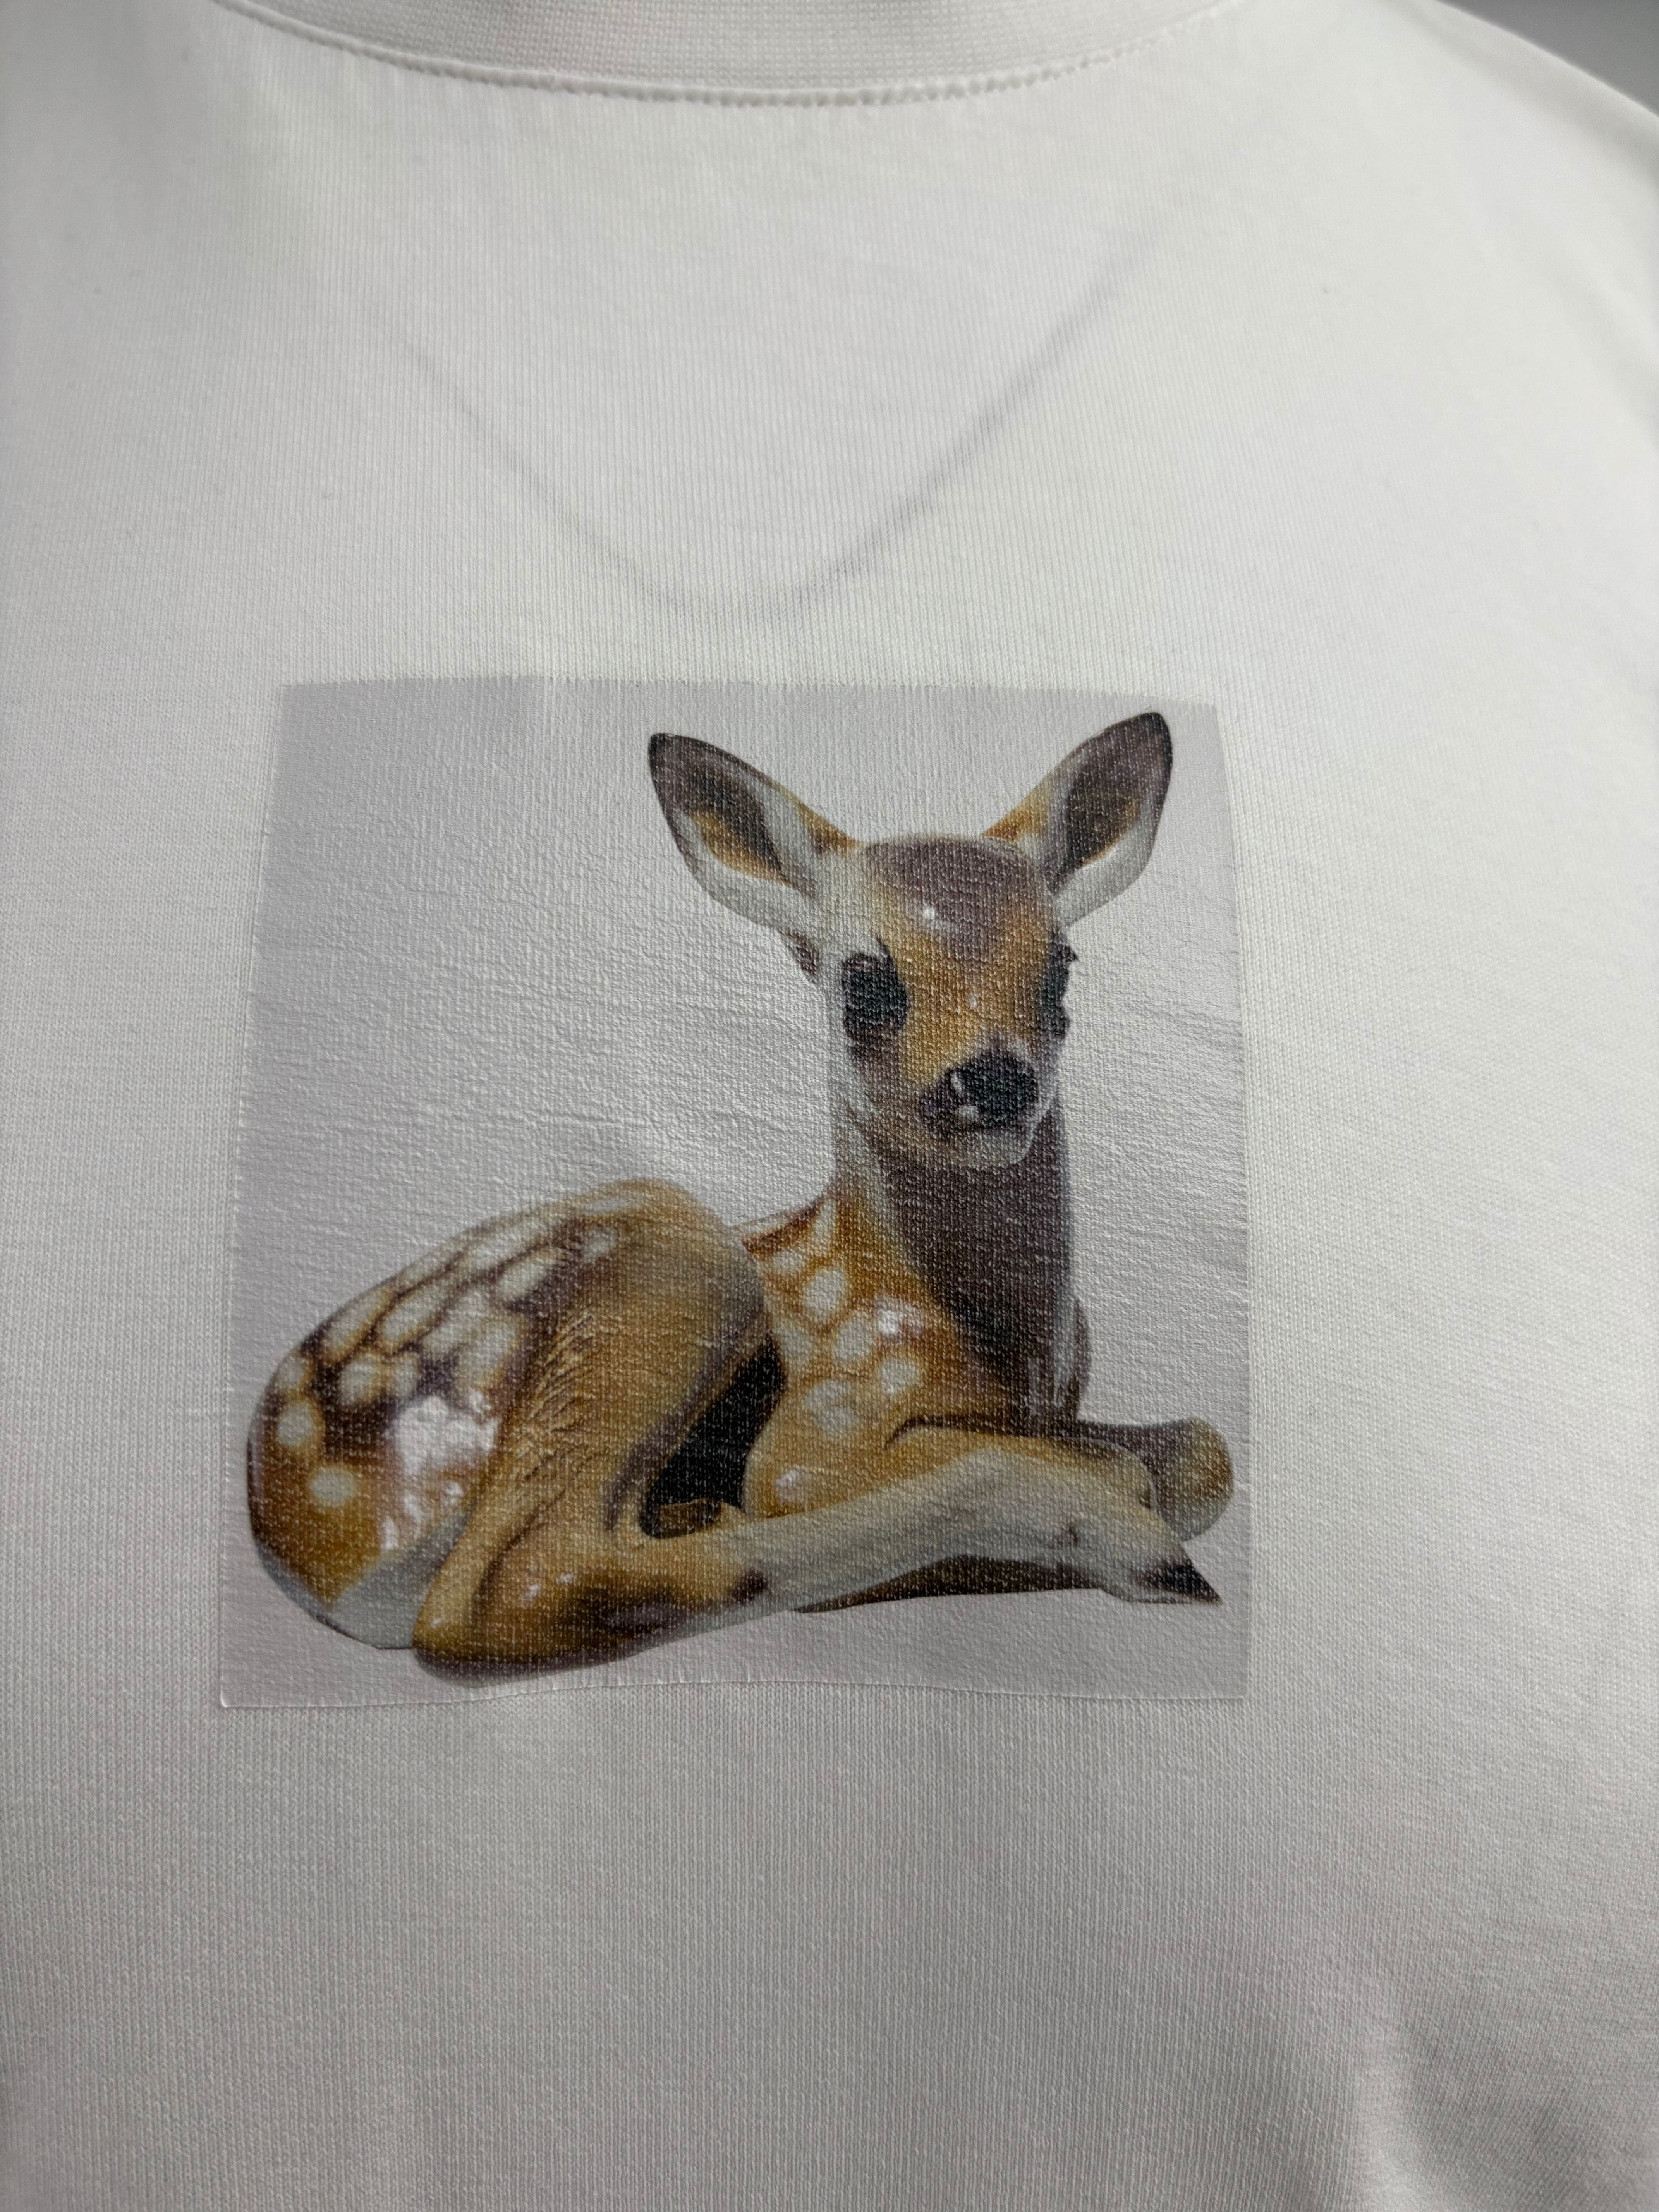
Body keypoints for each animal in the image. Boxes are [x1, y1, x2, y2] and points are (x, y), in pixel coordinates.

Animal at [247, 715, 1233, 1670]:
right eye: (865, 979)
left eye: (1062, 965)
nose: (993, 1079)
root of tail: (287, 1539)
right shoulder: (822, 1427)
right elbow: (836, 1478)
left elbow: (1206, 1452)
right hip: (672, 1253)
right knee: (509, 1592)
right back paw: (1135, 1552)